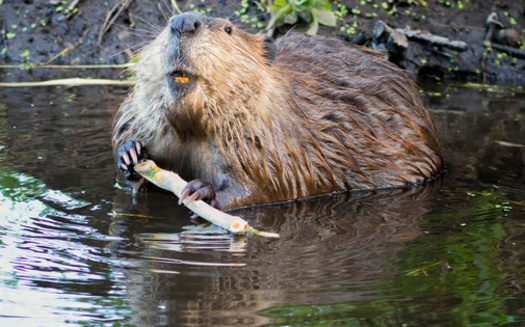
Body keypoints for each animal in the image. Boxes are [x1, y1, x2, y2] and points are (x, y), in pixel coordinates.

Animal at [112, 12, 444, 210]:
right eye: (166, 24)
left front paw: (201, 190)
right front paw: (131, 153)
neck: (192, 127)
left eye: (229, 28)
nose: (183, 22)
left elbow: (264, 188)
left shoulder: (270, 147)